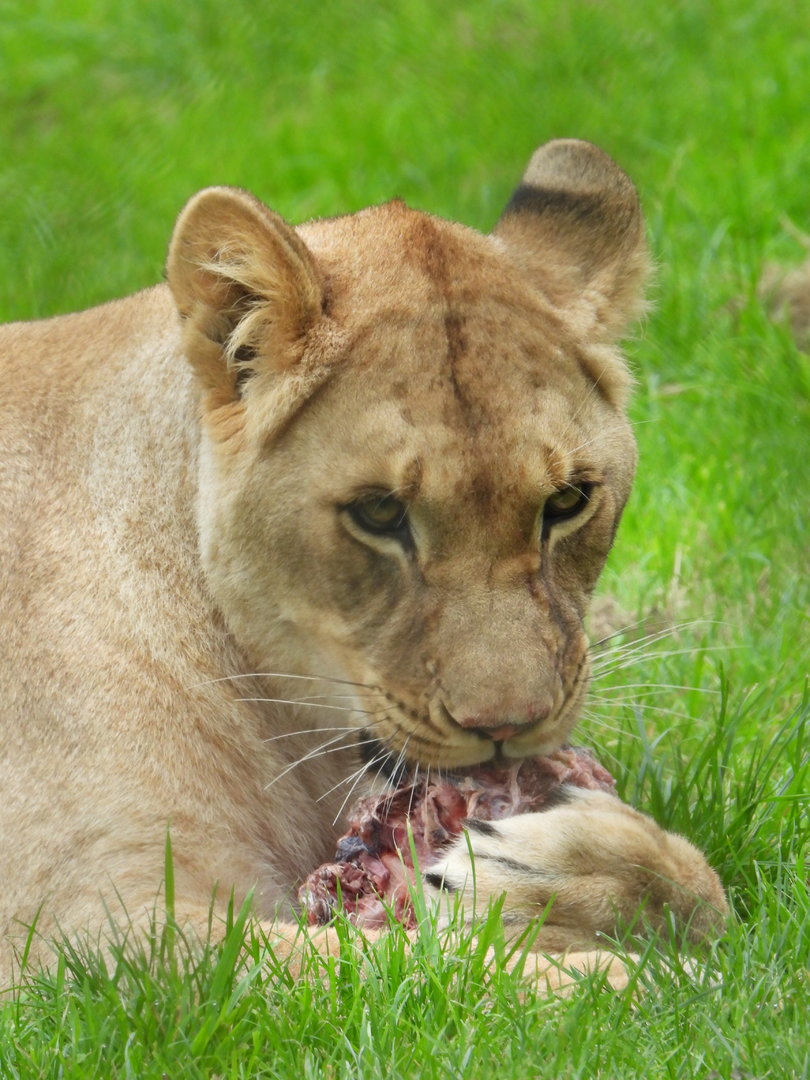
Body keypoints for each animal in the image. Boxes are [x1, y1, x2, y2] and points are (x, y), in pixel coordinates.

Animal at [0, 139, 726, 988]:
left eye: (569, 501)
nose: (508, 728)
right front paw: (650, 982)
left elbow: (715, 896)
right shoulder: (86, 945)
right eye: (380, 514)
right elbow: (410, 979)